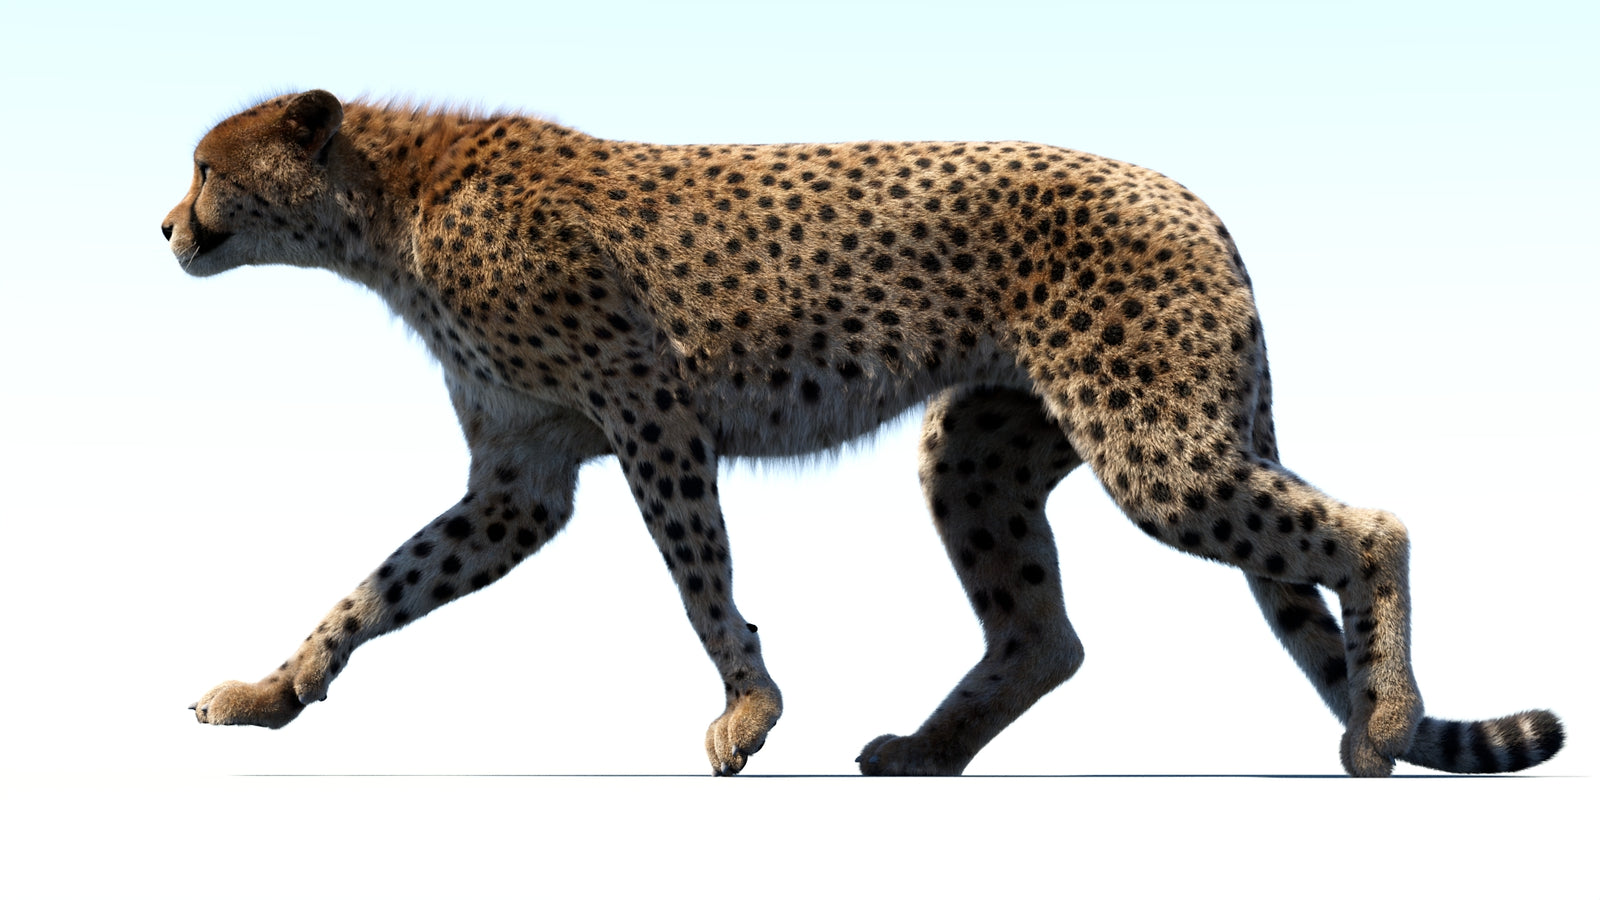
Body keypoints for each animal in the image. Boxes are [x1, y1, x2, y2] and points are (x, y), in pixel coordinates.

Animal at [164, 90, 1564, 776]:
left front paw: (748, 711)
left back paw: (1383, 722)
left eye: (208, 169)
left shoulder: (652, 414)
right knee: (1043, 634)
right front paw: (274, 690)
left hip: (1155, 446)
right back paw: (926, 752)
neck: (384, 207)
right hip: (982, 451)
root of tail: (1188, 195)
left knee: (1371, 527)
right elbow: (377, 587)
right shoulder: (523, 477)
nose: (167, 226)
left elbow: (700, 579)